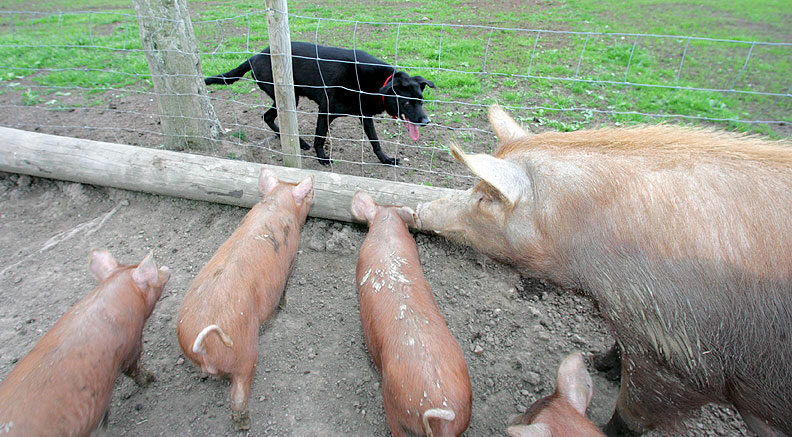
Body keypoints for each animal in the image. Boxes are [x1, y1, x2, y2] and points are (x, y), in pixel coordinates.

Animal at [176, 168, 313, 430]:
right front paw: (284, 305)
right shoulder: (291, 260)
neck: (277, 204)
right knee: (239, 394)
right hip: (246, 353)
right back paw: (245, 424)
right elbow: (285, 286)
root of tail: (203, 346)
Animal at [416, 105, 792, 436]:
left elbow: (631, 416)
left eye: (485, 198)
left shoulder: (684, 359)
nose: (418, 209)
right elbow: (618, 347)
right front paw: (598, 362)